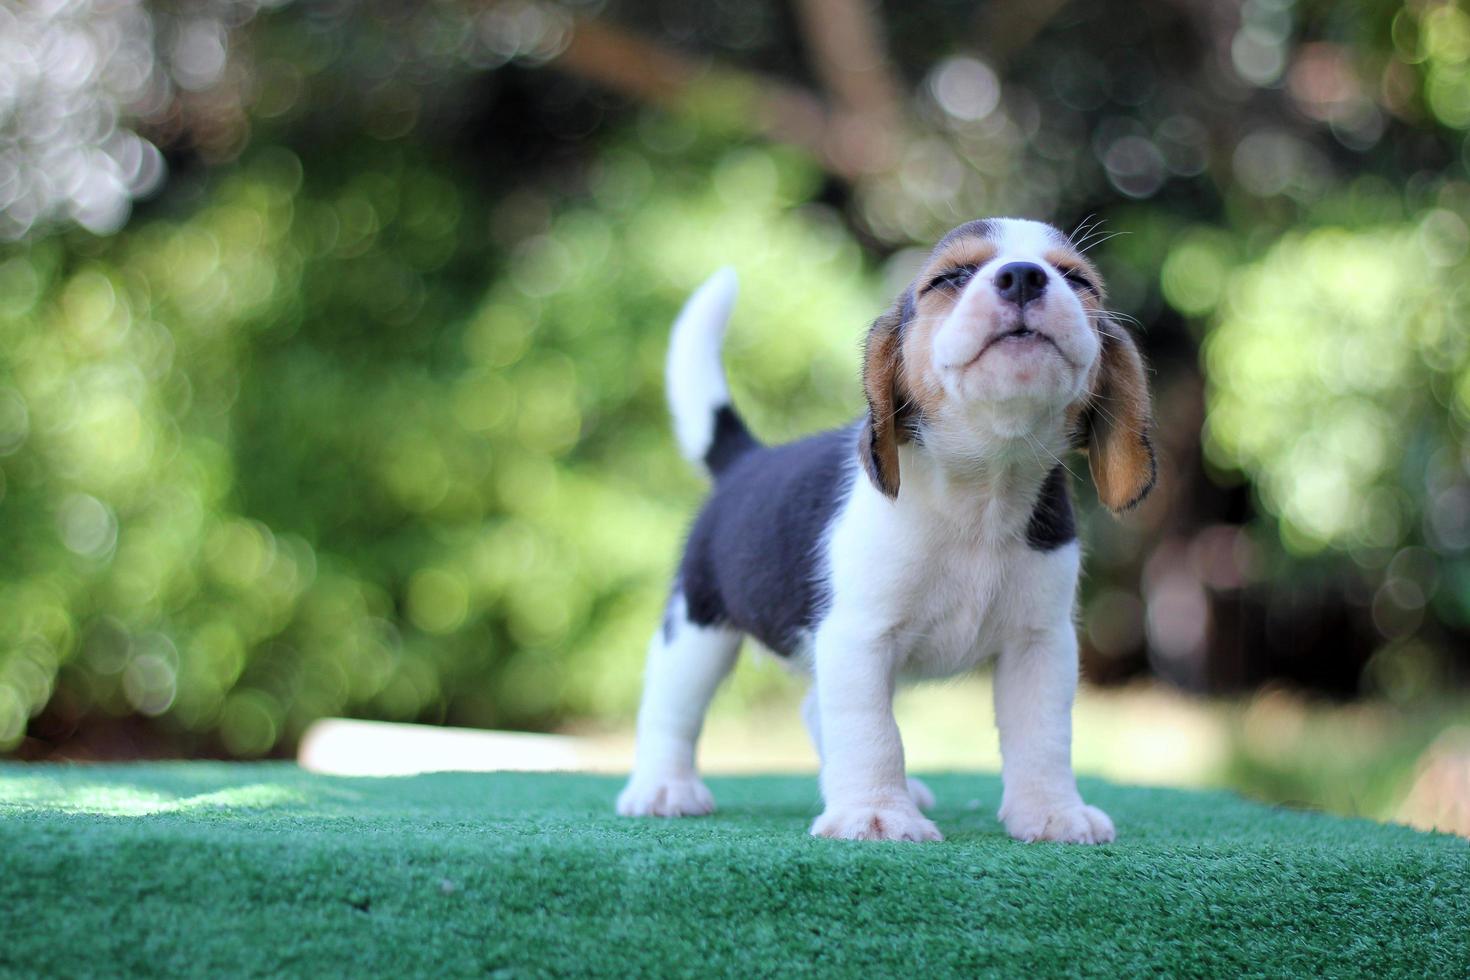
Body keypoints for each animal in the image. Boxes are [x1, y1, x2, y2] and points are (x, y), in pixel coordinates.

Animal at [614, 220, 1152, 846]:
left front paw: (1052, 812)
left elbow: (1043, 735)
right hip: (697, 626)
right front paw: (876, 813)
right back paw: (662, 788)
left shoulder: (1040, 643)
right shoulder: (859, 636)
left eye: (1077, 280)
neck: (981, 490)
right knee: (671, 710)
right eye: (949, 278)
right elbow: (871, 731)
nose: (1023, 277)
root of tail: (746, 461)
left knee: (811, 709)